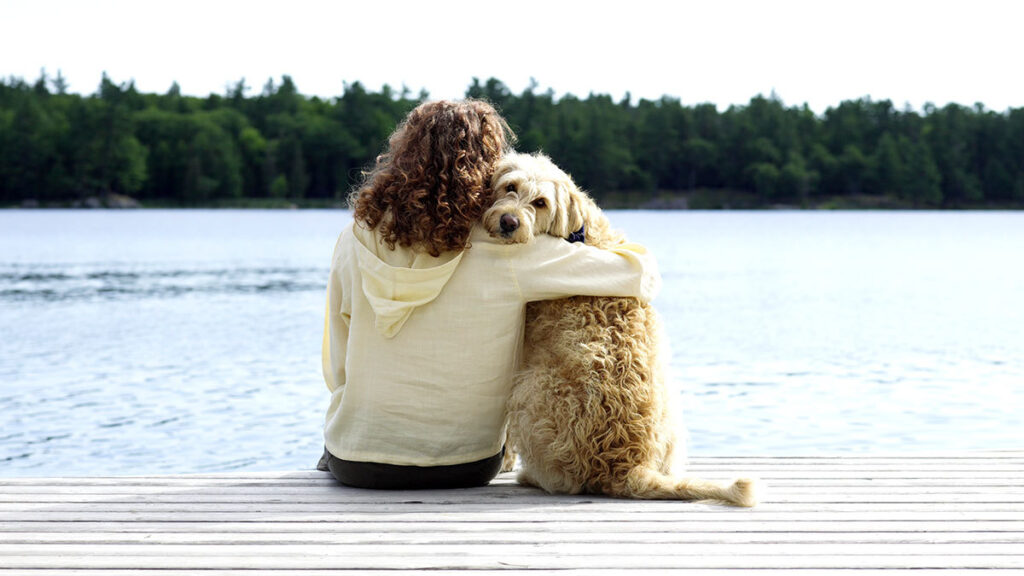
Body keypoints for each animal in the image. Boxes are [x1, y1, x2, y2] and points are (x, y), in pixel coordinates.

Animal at [483, 151, 757, 502]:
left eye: (541, 202)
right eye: (510, 186)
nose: (509, 222)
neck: (578, 231)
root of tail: (625, 465)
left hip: (530, 389)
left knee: (564, 480)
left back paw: (531, 476)